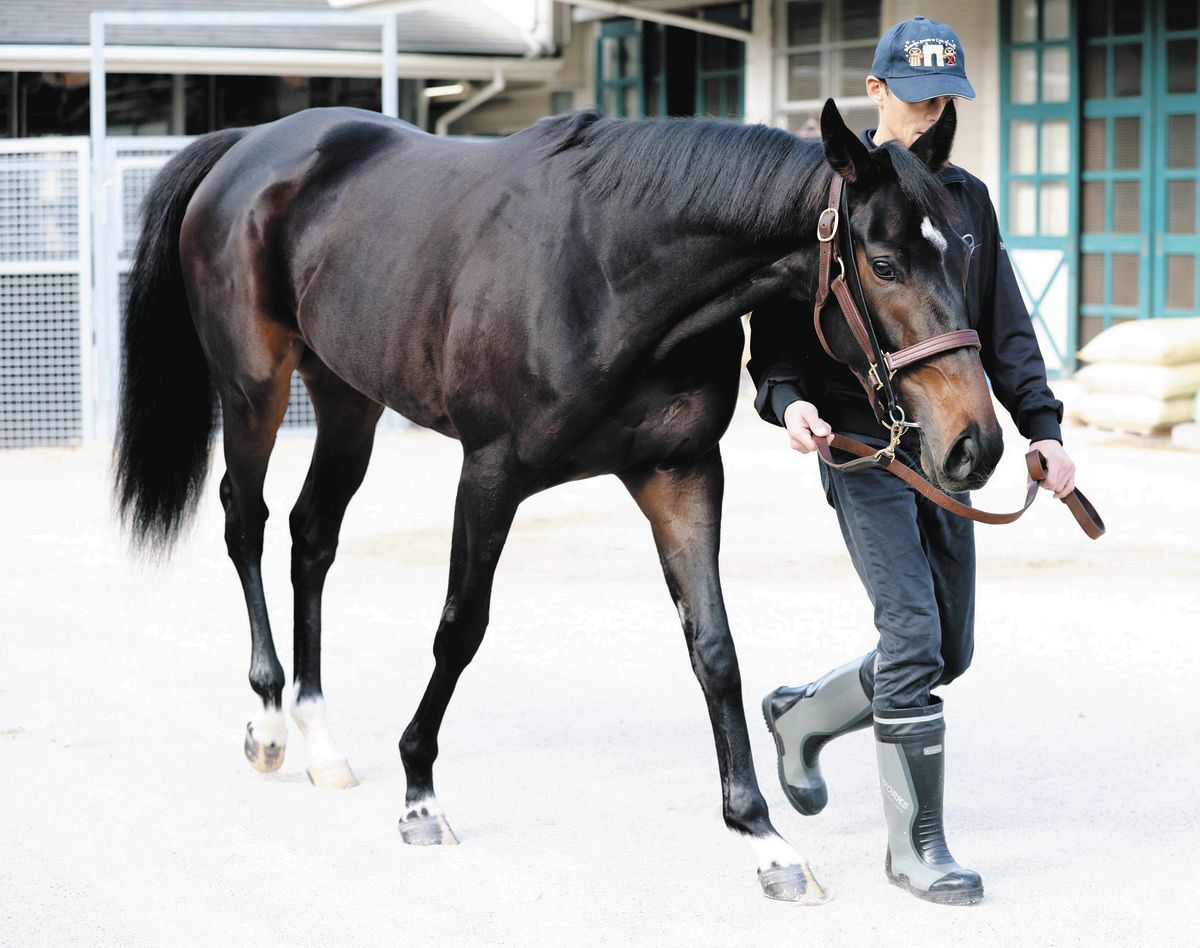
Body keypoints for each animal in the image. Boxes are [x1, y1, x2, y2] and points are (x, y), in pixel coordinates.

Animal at [114, 97, 1000, 902]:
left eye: (964, 251)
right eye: (882, 264)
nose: (976, 445)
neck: (608, 269)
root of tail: (250, 145)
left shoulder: (681, 473)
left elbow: (714, 650)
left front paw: (764, 840)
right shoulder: (490, 473)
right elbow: (459, 630)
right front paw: (419, 796)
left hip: (346, 397)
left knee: (312, 537)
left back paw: (319, 739)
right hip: (254, 388)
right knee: (247, 524)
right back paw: (268, 723)